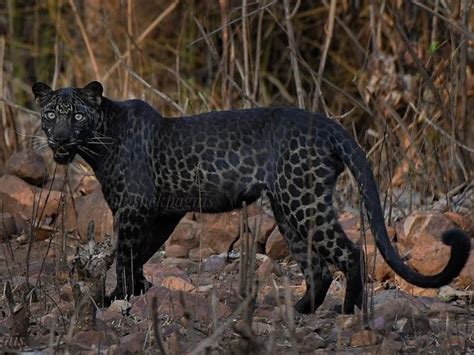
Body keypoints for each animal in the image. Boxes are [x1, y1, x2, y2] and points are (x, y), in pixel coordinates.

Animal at [32, 82, 470, 314]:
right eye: (50, 114)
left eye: (77, 116)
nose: (60, 139)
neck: (98, 143)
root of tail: (330, 125)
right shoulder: (163, 212)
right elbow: (139, 254)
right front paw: (136, 292)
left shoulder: (133, 209)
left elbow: (125, 254)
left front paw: (117, 298)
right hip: (288, 208)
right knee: (318, 267)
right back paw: (299, 311)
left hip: (303, 202)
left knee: (349, 252)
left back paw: (348, 312)